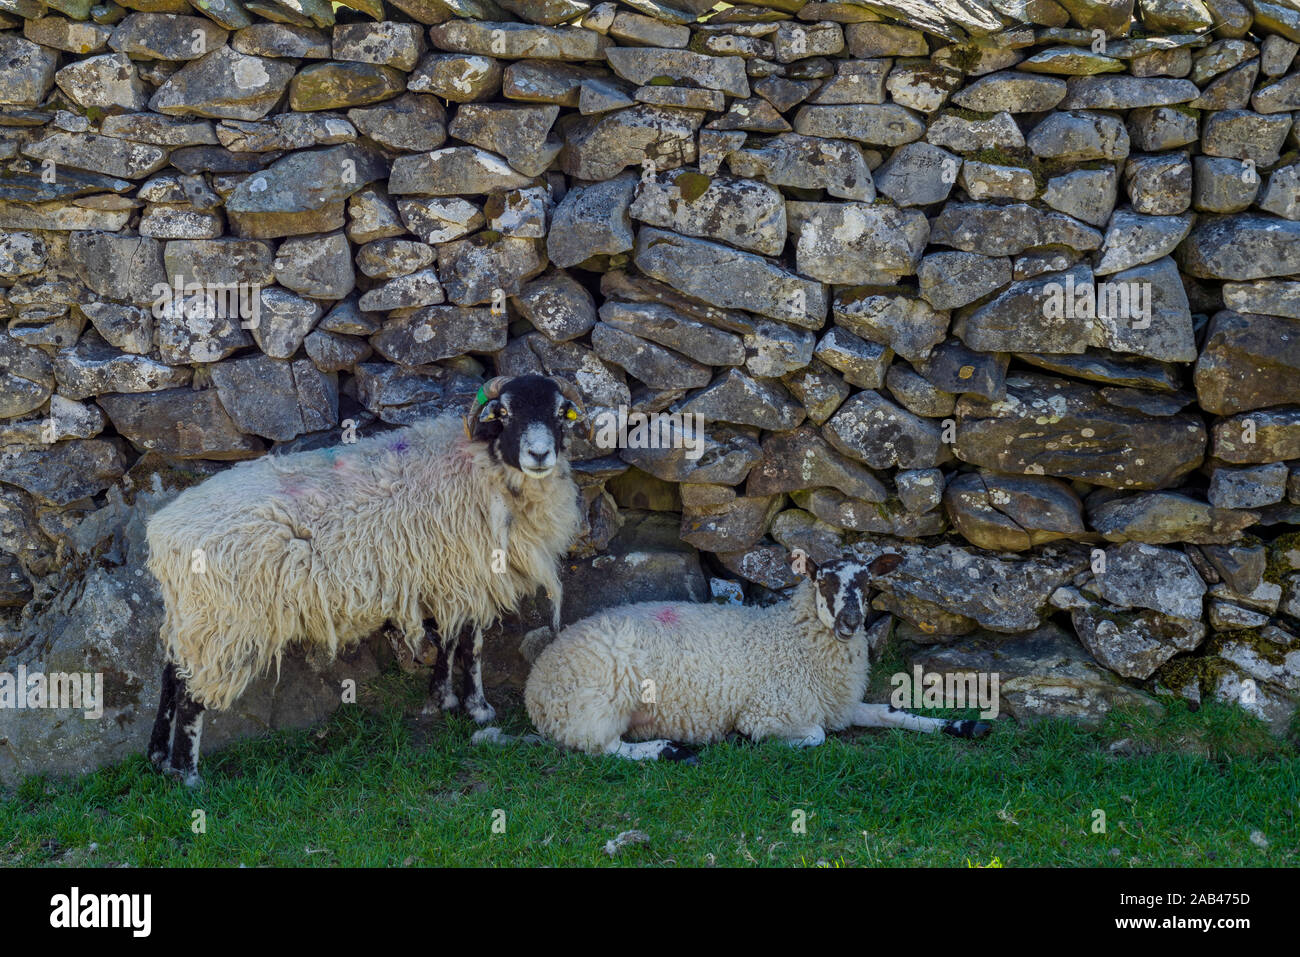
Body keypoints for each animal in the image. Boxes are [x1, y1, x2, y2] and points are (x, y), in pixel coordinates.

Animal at [146, 374, 585, 785]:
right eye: (505, 412)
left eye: (559, 412)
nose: (539, 454)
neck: (482, 467)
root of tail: (163, 532)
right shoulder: (470, 576)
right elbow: (470, 645)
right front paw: (477, 708)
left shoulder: (446, 578)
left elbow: (447, 642)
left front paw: (441, 700)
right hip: (224, 622)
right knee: (190, 695)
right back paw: (187, 775)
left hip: (192, 614)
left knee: (171, 674)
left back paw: (158, 758)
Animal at [483, 553, 987, 764]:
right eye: (823, 581)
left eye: (866, 583)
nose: (849, 622)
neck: (792, 638)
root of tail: (538, 680)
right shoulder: (772, 712)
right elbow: (817, 736)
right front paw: (741, 740)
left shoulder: (838, 704)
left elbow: (891, 712)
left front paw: (962, 725)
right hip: (594, 705)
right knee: (603, 749)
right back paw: (669, 751)